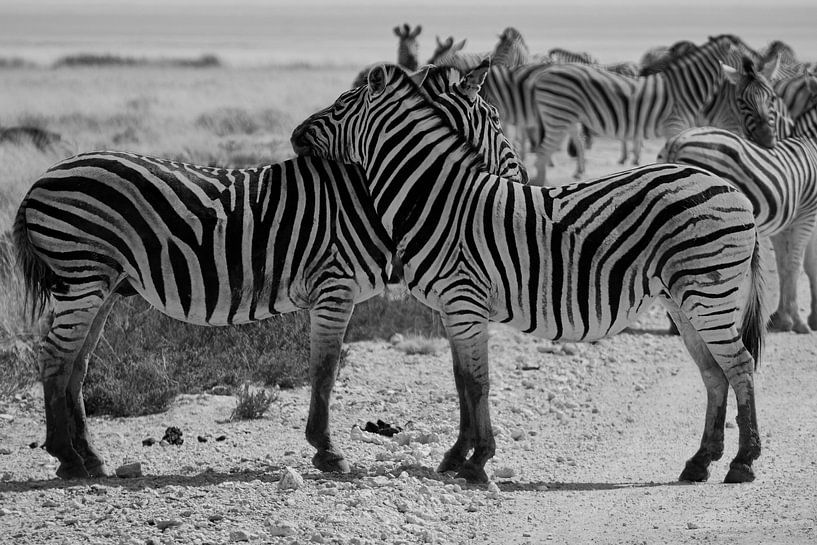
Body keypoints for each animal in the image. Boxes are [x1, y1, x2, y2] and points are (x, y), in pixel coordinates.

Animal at [13, 61, 522, 480]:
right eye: (497, 120)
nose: (519, 179)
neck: (370, 195)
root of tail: (43, 176)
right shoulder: (334, 285)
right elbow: (325, 369)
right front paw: (327, 452)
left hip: (102, 283)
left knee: (75, 363)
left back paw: (88, 457)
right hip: (82, 275)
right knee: (55, 356)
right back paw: (67, 458)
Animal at [291, 62, 766, 485]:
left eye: (341, 104)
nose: (295, 136)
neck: (436, 198)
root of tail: (733, 189)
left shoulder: (464, 300)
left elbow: (477, 382)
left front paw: (478, 461)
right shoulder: (452, 308)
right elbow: (462, 380)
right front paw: (458, 456)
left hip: (708, 292)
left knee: (740, 365)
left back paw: (743, 463)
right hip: (682, 300)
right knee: (714, 372)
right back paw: (701, 462)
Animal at [529, 35, 769, 184]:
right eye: (746, 59)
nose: (759, 67)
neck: (685, 87)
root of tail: (545, 72)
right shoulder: (674, 126)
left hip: (565, 117)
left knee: (566, 144)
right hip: (558, 114)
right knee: (543, 151)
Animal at [661, 92, 817, 333]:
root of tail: (677, 141)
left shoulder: (785, 225)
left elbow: (788, 266)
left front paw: (783, 318)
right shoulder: (806, 214)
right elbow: (797, 265)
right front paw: (798, 321)